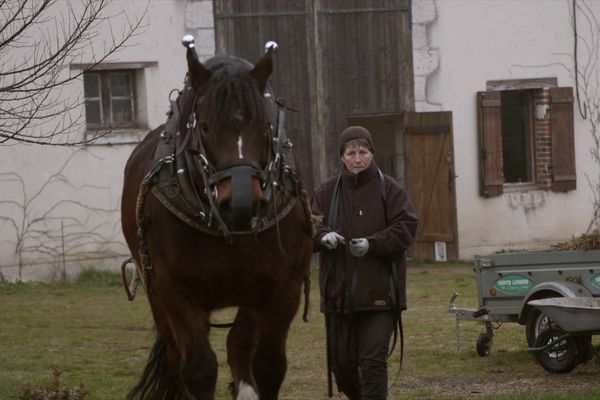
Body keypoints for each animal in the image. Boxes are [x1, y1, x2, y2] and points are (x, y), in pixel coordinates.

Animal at [120, 36, 312, 398]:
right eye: (206, 126)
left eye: (264, 125)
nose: (240, 202)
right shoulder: (174, 290)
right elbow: (198, 368)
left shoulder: (282, 288)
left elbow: (268, 365)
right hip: (156, 295)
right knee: (177, 357)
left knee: (239, 345)